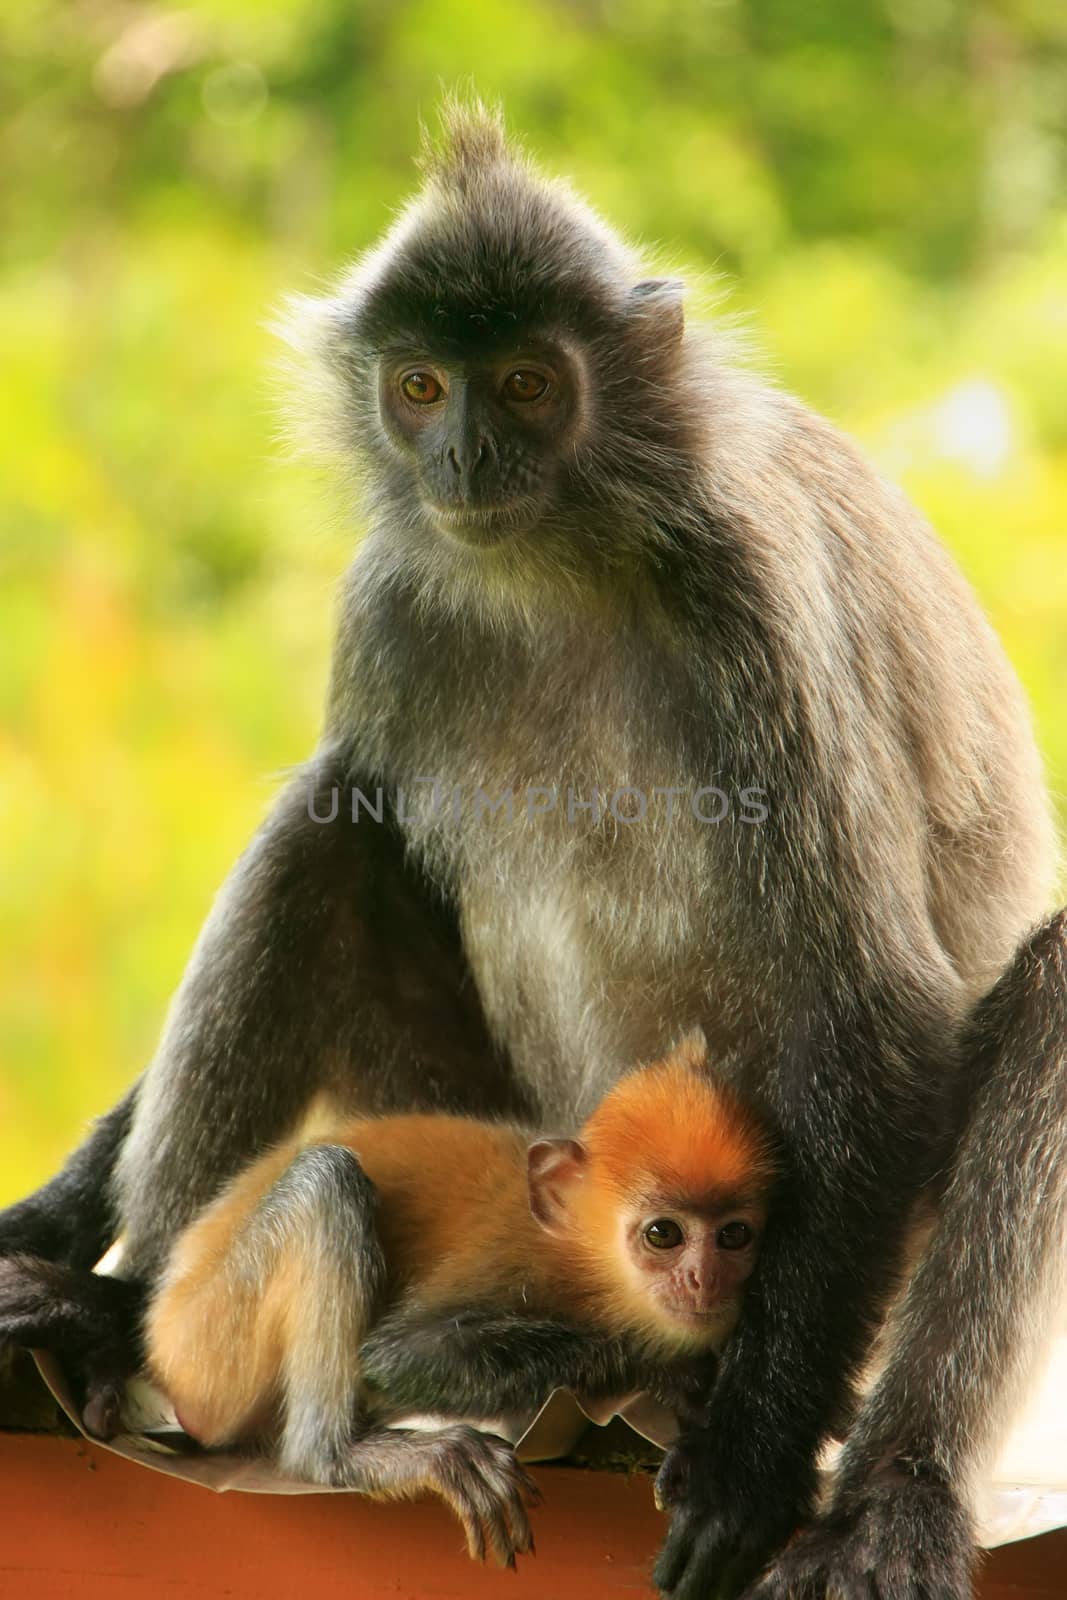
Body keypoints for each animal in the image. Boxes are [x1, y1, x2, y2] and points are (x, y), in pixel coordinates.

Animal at [146, 1036, 771, 1561]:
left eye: (733, 1236)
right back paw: (337, 1455)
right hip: (208, 1343)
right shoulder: (511, 1257)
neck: (580, 1251)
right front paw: (668, 1373)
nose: (705, 1279)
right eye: (664, 1235)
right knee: (327, 1181)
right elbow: (397, 1357)